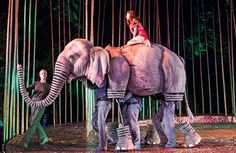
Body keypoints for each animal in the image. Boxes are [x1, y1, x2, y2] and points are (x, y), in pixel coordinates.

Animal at [17, 37, 187, 150]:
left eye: (72, 57)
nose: (19, 64)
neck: (96, 49)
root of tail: (179, 57)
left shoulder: (116, 71)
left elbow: (107, 105)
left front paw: (103, 147)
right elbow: (102, 104)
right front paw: (111, 143)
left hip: (173, 72)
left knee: (169, 102)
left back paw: (169, 145)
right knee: (163, 102)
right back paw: (156, 143)